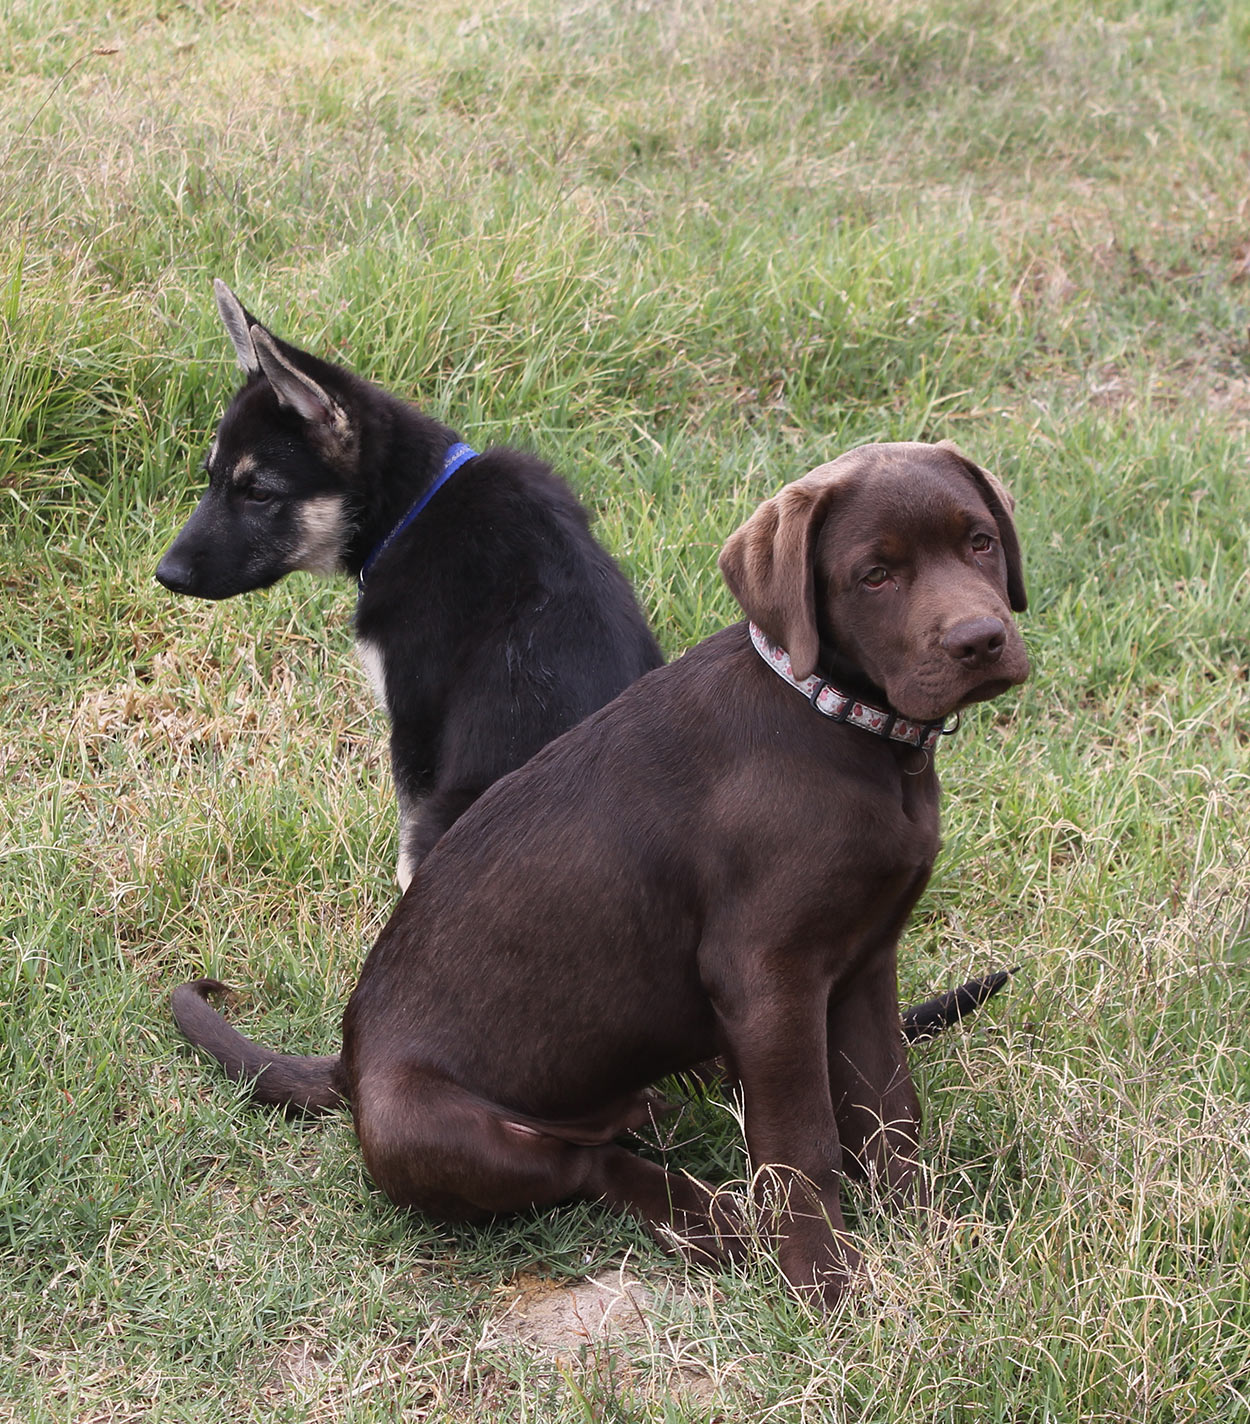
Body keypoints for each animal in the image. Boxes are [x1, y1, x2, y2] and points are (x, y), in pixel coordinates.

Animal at [178, 438, 1036, 1304]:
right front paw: (821, 1279)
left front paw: (924, 1233)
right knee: (584, 1166)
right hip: (421, 1127)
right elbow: (803, 1142)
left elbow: (889, 1105)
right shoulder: (769, 977)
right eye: (875, 575)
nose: (980, 640)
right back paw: (715, 1222)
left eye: (979, 543)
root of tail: (350, 1063)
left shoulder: (864, 963)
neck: (840, 721)